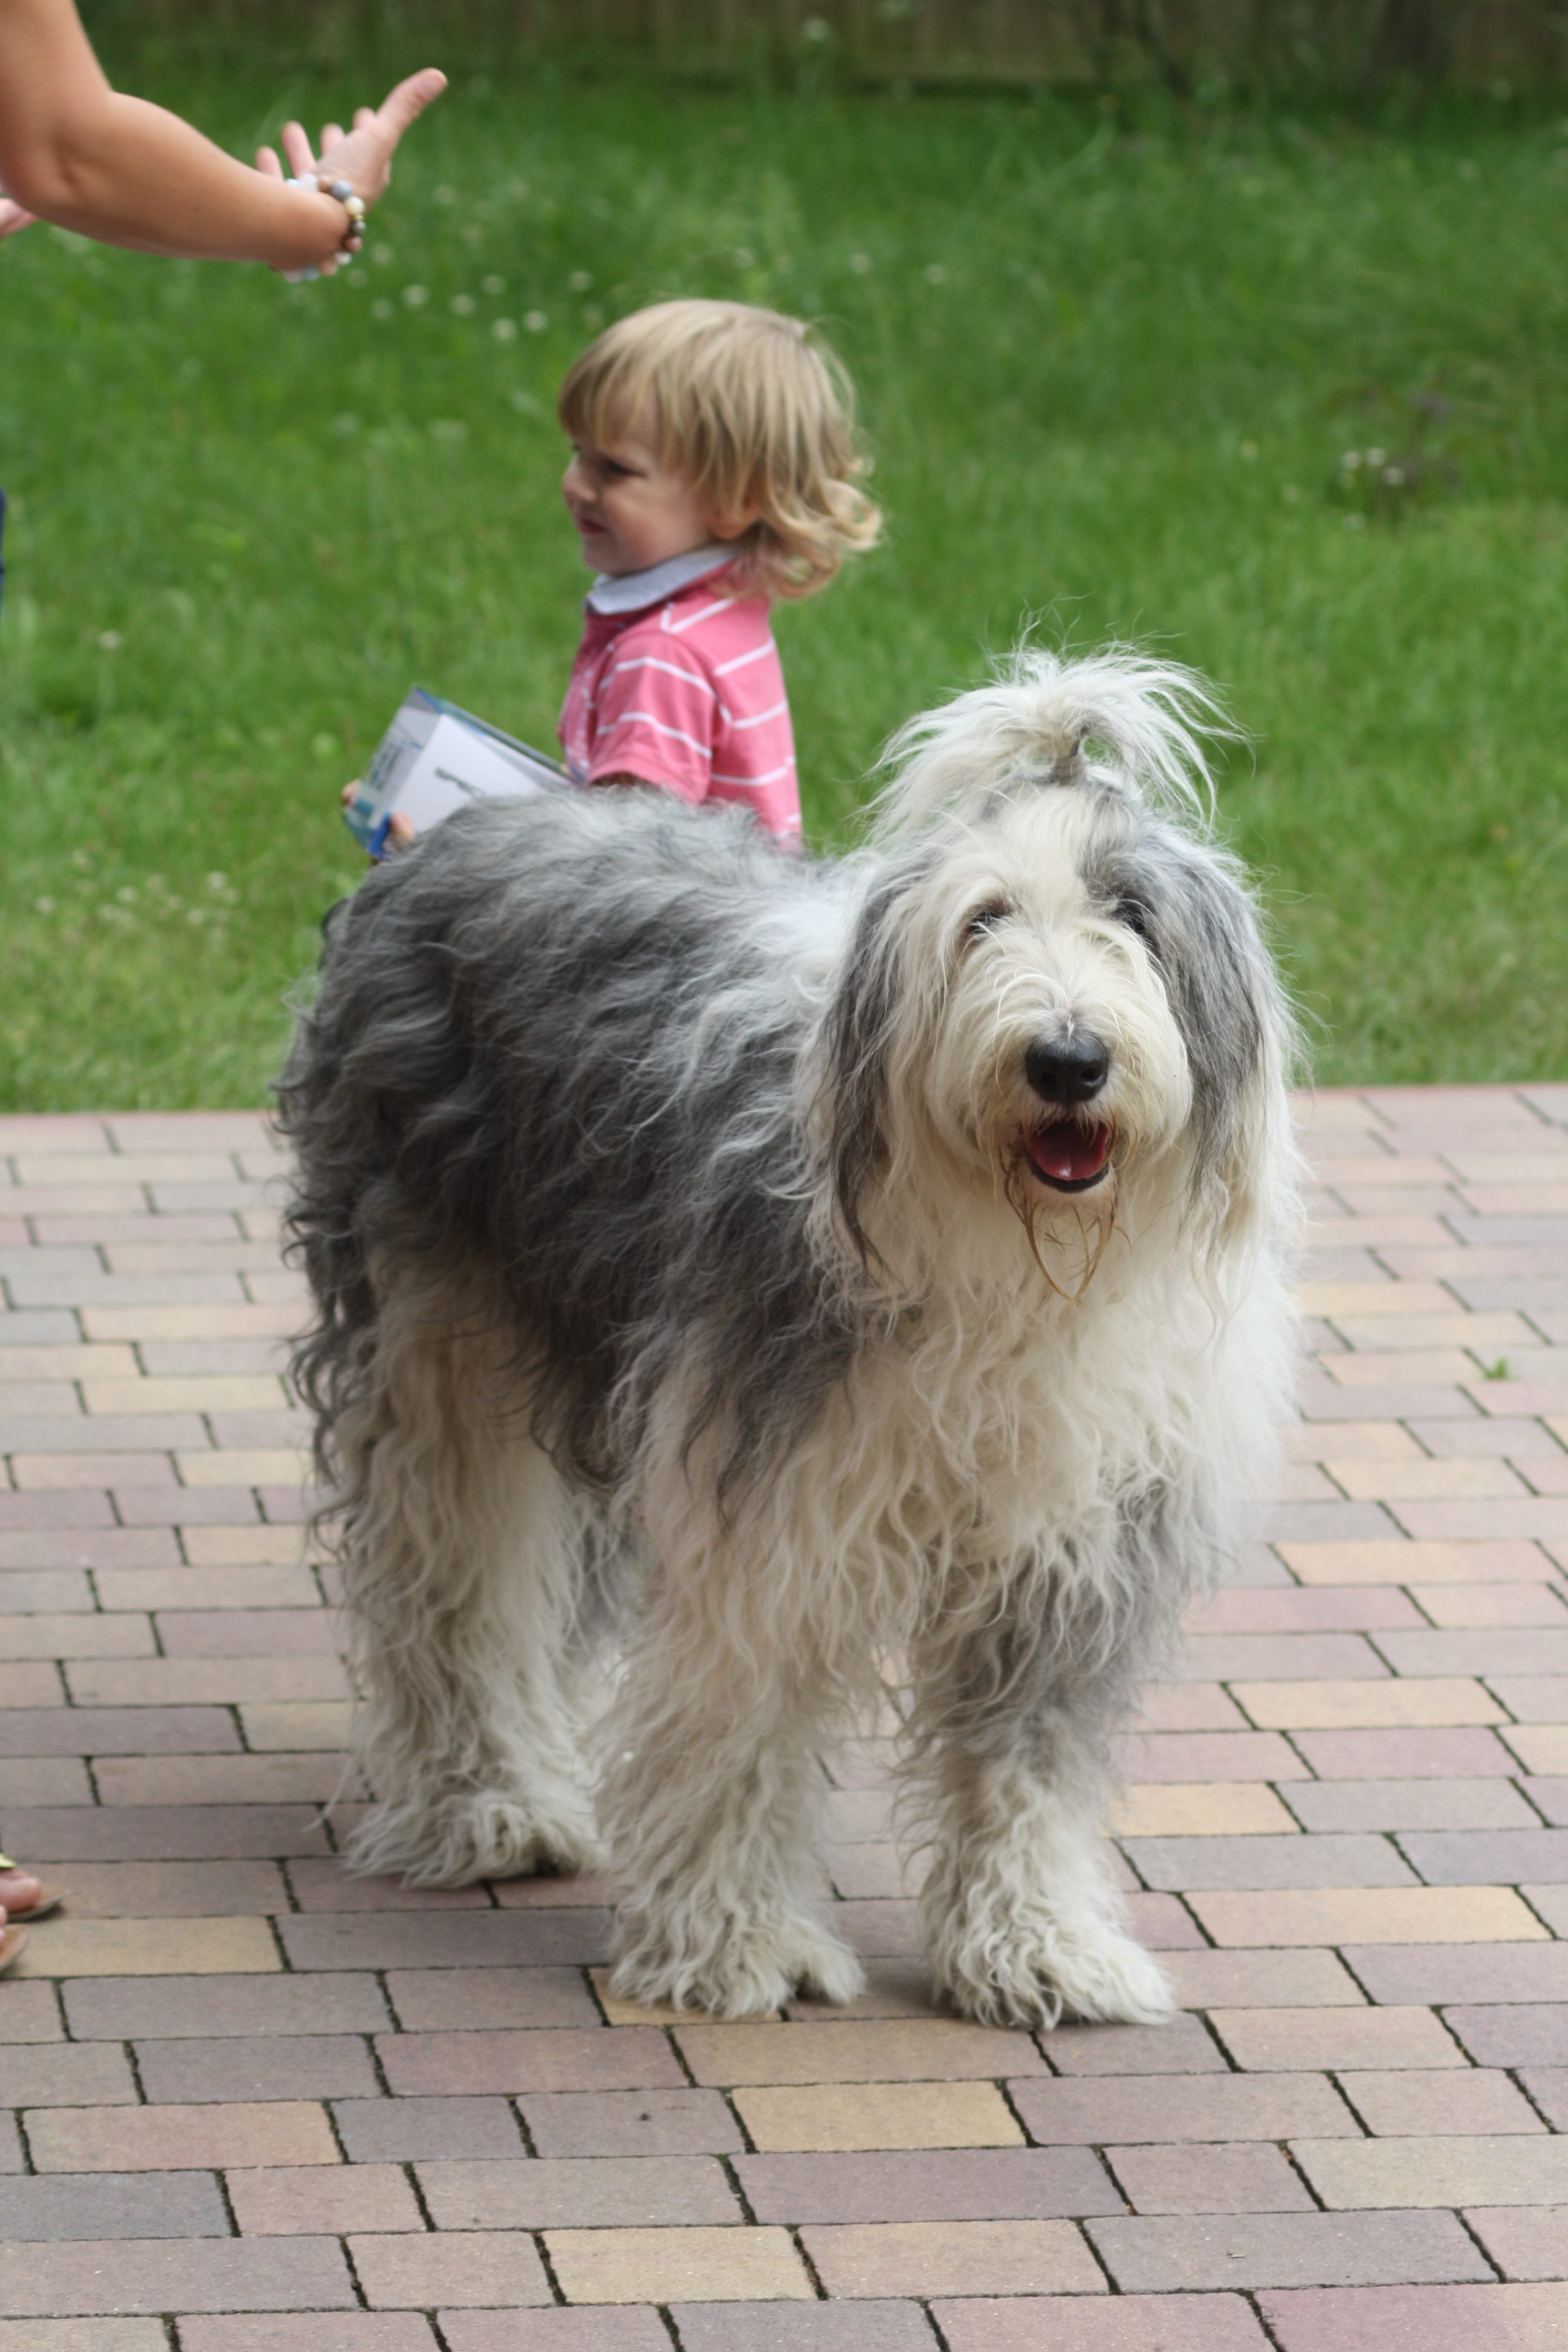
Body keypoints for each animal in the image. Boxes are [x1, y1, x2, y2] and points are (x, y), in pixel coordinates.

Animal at [278, 647, 1299, 2028]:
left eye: (1130, 920)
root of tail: (471, 826)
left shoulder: (1069, 1543)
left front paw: (1035, 1947)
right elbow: (744, 1724)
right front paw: (734, 1945)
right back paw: (490, 1804)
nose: (1067, 1060)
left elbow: (1027, 1759)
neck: (1003, 1254)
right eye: (982, 922)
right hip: (439, 1328)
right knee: (460, 1574)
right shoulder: (764, 1497)